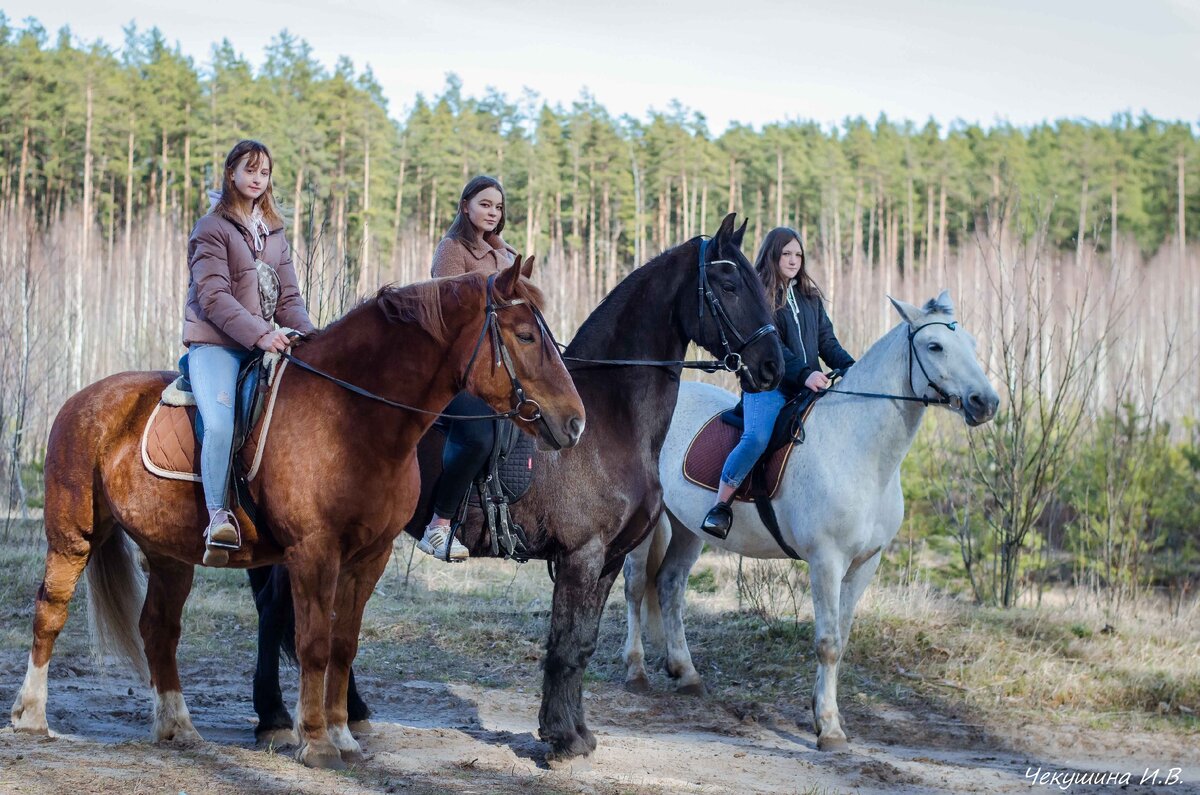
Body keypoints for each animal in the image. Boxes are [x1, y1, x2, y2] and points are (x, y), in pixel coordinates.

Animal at [10, 258, 585, 768]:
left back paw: (178, 727)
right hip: (72, 537)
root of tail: (83, 399)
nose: (575, 422)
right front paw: (315, 741)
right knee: (50, 611)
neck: (351, 417)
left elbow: (343, 645)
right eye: (524, 336)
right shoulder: (313, 552)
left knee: (159, 629)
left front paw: (343, 735)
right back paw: (32, 716)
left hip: (169, 551)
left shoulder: (369, 557)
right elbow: (313, 644)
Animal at [248, 213, 782, 768]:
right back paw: (277, 718)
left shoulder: (609, 560)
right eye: (729, 283)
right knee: (278, 609)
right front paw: (561, 740)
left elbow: (582, 645)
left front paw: (577, 732)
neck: (611, 419)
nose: (774, 365)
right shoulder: (581, 555)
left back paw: (343, 714)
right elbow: (565, 645)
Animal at [624, 293, 998, 754]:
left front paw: (823, 713)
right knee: (636, 586)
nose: (986, 403)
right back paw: (635, 671)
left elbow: (843, 635)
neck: (857, 446)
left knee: (670, 586)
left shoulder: (865, 564)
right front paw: (830, 729)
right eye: (935, 346)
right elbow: (827, 643)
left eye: (972, 344)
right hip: (652, 525)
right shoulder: (826, 561)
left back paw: (686, 673)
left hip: (688, 528)